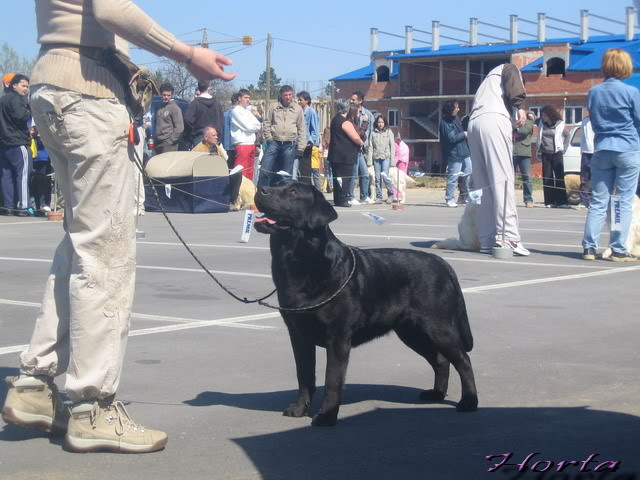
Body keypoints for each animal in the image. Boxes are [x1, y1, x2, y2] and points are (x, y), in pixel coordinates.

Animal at [252, 182, 478, 426]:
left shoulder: (338, 337)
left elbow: (332, 380)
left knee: (463, 360)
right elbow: (304, 375)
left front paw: (326, 416)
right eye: (276, 184)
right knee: (440, 360)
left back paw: (469, 402)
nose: (261, 188)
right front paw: (299, 409)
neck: (299, 262)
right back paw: (436, 394)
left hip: (438, 327)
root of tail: (443, 263)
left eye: (293, 192)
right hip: (412, 332)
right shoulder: (298, 335)